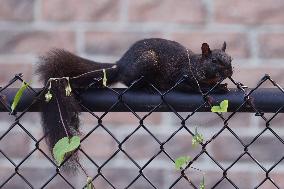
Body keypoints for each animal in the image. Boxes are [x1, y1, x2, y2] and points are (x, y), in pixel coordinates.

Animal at [35, 37, 232, 171]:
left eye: (230, 58)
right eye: (214, 61)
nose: (230, 71)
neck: (197, 63)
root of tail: (119, 65)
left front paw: (220, 85)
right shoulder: (182, 77)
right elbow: (191, 88)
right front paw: (214, 90)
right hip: (146, 63)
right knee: (129, 82)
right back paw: (147, 88)